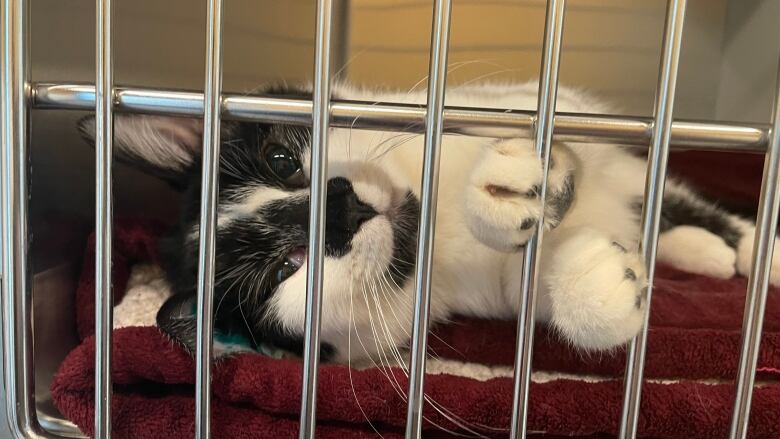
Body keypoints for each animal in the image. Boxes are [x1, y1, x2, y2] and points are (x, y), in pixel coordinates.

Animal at [77, 81, 772, 364]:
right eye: (282, 270)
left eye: (281, 159)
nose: (341, 207)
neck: (437, 233)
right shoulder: (496, 292)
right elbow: (540, 289)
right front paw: (600, 287)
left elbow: (534, 115)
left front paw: (509, 184)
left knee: (675, 196)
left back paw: (752, 251)